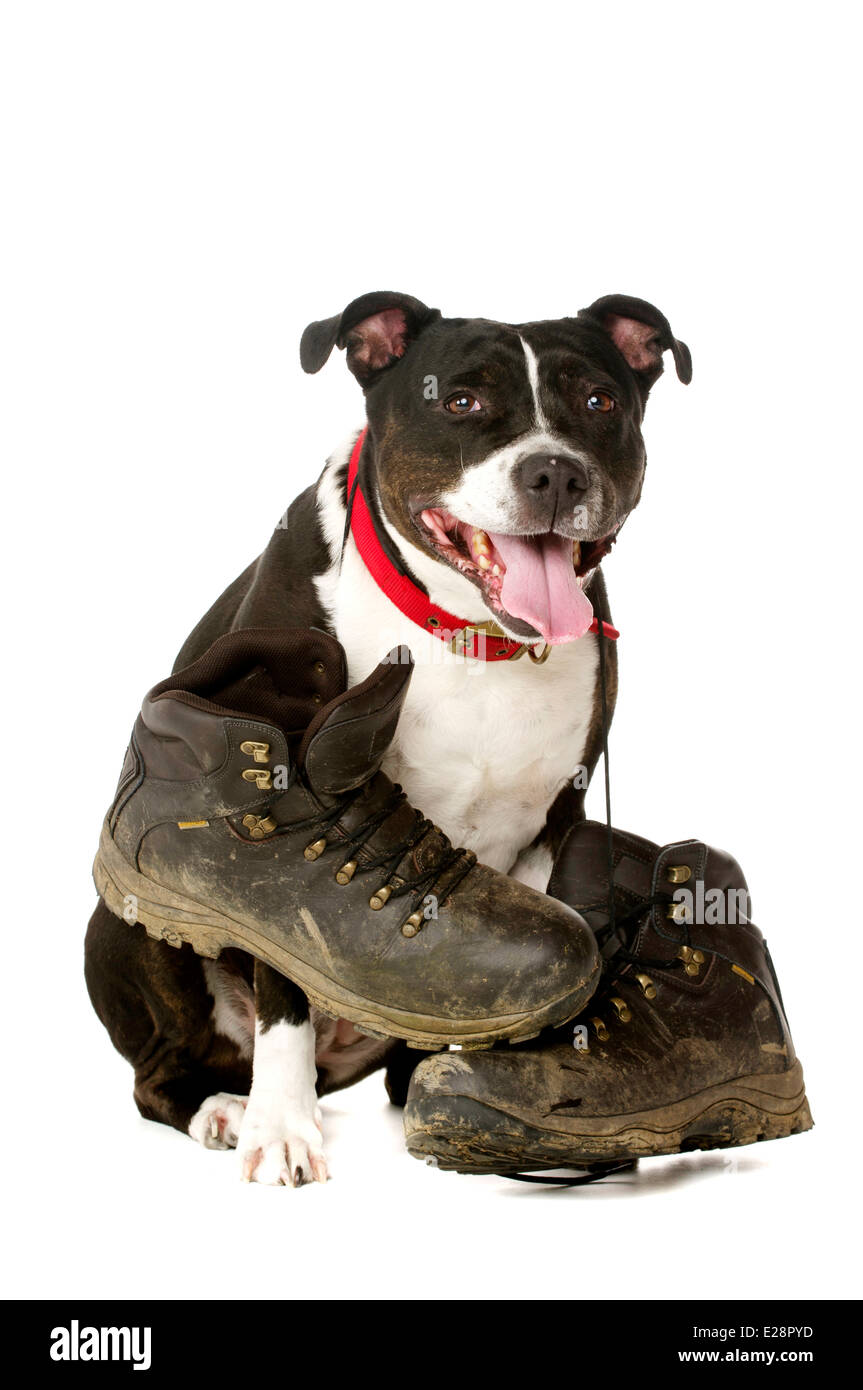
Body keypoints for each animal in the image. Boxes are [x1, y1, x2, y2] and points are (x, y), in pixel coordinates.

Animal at [85, 290, 686, 1184]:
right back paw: (226, 1107)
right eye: (460, 401)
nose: (554, 471)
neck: (465, 634)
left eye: (597, 402)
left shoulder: (554, 827)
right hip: (130, 927)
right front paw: (282, 1129)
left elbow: (552, 958)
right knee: (160, 1073)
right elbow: (283, 987)